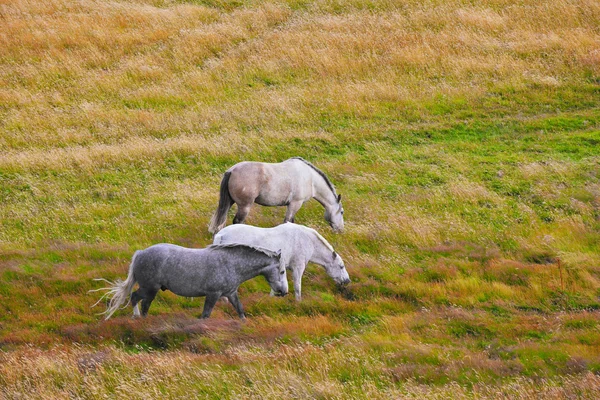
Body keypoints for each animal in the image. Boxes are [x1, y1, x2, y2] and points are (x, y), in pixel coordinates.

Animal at [93, 242, 288, 320]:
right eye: (282, 270)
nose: (284, 291)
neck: (231, 263)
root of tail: (140, 253)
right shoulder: (213, 294)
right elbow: (205, 315)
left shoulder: (231, 293)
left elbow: (240, 311)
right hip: (149, 288)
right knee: (136, 299)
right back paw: (137, 317)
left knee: (143, 303)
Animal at [209, 157, 344, 234]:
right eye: (342, 212)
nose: (341, 230)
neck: (310, 178)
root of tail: (232, 171)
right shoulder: (295, 204)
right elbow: (288, 221)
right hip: (244, 206)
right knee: (237, 221)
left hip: (230, 202)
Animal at [214, 222, 352, 300]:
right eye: (341, 266)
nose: (347, 281)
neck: (308, 241)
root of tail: (221, 234)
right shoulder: (298, 267)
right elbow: (297, 287)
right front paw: (298, 303)